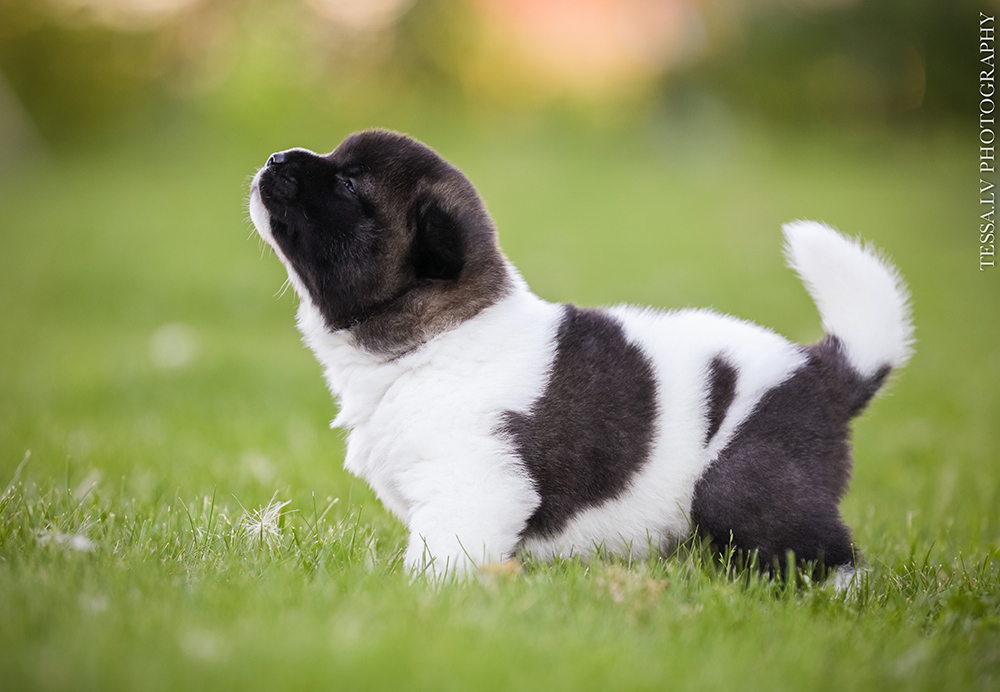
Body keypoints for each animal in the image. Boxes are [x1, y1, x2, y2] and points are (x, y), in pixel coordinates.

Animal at [246, 130, 912, 580]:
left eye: (348, 183)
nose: (276, 158)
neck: (434, 340)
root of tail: (824, 371)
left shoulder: (473, 483)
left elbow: (442, 558)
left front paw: (423, 600)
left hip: (744, 484)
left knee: (829, 556)